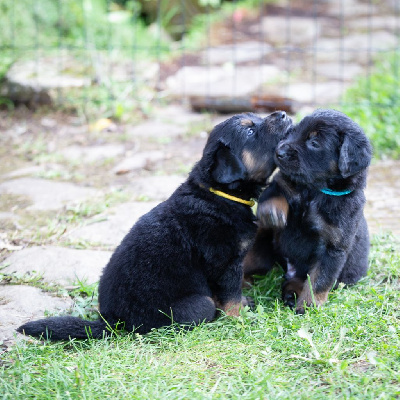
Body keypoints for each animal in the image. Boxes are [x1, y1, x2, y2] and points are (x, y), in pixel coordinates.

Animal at [17, 110, 290, 340]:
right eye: (249, 132)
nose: (283, 114)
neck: (218, 194)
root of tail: (112, 322)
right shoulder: (226, 263)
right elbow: (230, 296)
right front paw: (239, 319)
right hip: (196, 305)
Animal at [244, 108, 372, 312]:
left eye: (314, 143)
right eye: (294, 131)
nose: (279, 151)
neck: (315, 191)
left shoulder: (333, 248)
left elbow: (319, 281)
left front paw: (307, 306)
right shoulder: (282, 182)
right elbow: (276, 193)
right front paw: (272, 212)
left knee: (299, 281)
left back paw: (290, 295)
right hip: (261, 249)